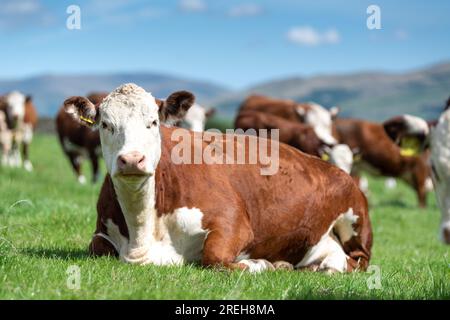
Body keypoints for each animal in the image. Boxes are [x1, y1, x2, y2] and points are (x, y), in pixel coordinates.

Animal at [64, 84, 372, 274]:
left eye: (153, 122)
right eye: (106, 124)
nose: (131, 159)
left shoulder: (232, 220)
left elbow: (215, 256)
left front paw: (263, 264)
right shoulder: (102, 231)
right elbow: (97, 247)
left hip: (355, 219)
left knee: (357, 261)